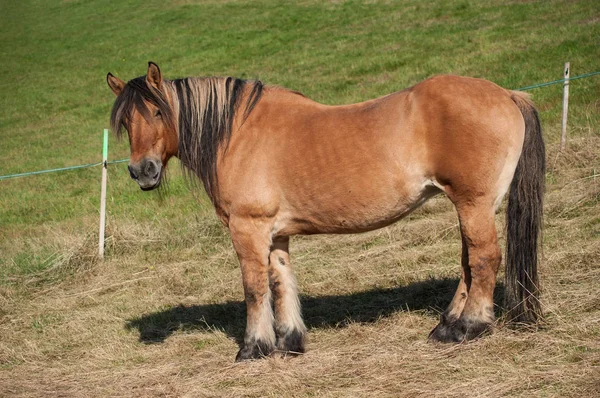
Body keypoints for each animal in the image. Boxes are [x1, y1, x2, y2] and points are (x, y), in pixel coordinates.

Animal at [106, 61, 544, 360]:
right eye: (125, 121)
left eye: (158, 111)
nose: (142, 171)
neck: (238, 133)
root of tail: (507, 94)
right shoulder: (275, 233)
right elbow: (280, 281)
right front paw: (289, 342)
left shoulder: (247, 228)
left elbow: (254, 287)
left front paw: (253, 348)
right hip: (471, 206)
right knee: (469, 261)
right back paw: (446, 326)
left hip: (473, 203)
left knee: (484, 259)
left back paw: (468, 327)